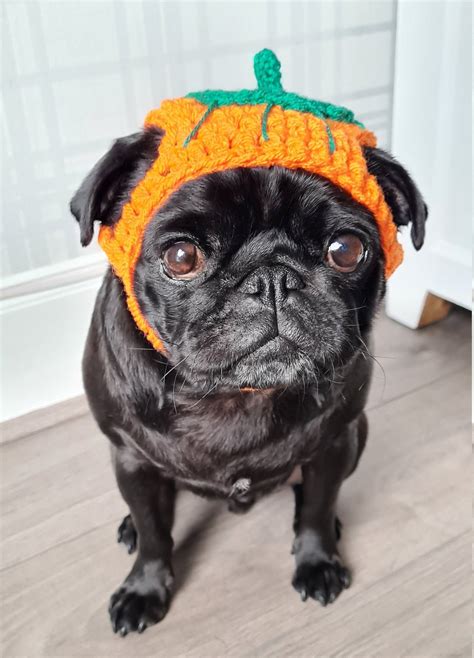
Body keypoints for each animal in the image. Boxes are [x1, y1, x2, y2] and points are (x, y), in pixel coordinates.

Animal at [71, 125, 430, 632]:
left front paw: (318, 560)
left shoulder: (335, 443)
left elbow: (318, 507)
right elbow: (154, 533)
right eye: (181, 256)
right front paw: (144, 587)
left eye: (346, 250)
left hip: (359, 434)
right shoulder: (131, 458)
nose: (272, 279)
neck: (237, 395)